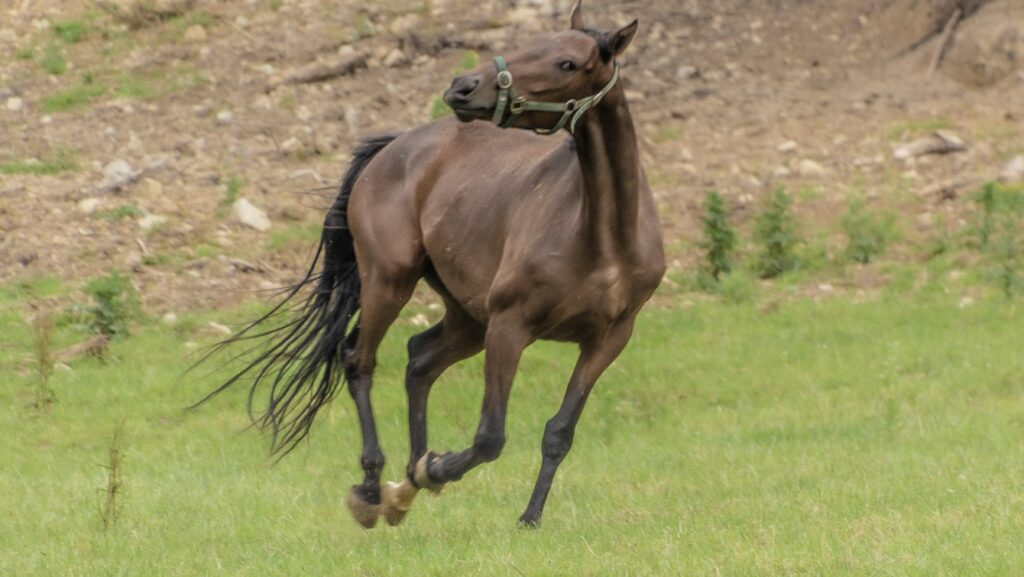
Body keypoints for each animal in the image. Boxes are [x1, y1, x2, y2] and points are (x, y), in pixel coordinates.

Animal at [201, 0, 665, 528]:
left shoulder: (607, 340)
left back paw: (406, 483)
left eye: (567, 63)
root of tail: (392, 147)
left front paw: (528, 517)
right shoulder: (510, 326)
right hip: (390, 281)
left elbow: (559, 433)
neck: (602, 237)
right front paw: (438, 468)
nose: (462, 87)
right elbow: (490, 436)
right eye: (528, 44)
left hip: (467, 316)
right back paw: (373, 488)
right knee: (358, 359)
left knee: (420, 359)